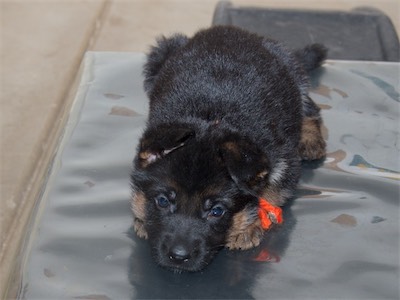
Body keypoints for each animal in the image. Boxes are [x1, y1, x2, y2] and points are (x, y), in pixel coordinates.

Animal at [130, 25, 326, 272]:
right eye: (163, 201)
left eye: (217, 211)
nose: (179, 256)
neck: (212, 119)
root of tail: (232, 30)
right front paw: (141, 217)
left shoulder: (285, 160)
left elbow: (272, 192)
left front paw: (250, 224)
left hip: (293, 76)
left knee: (310, 105)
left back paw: (310, 139)